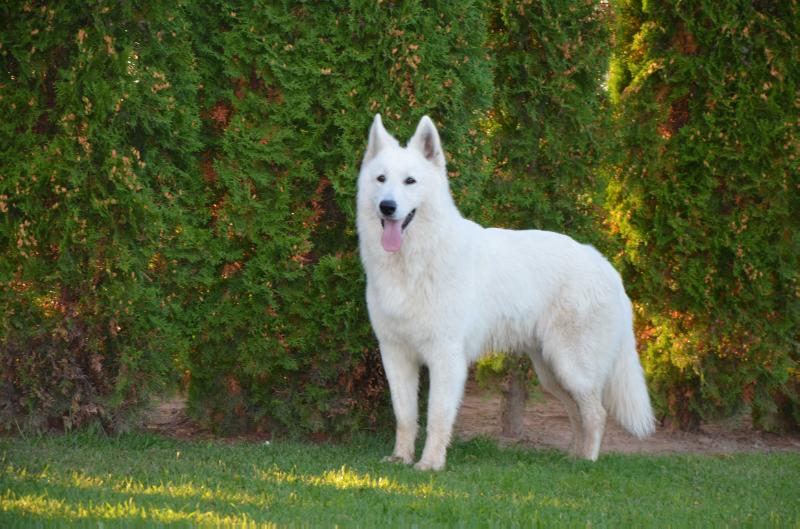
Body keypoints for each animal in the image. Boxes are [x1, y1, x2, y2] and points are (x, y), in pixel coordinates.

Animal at [358, 113, 656, 468]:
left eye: (410, 182)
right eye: (381, 179)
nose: (387, 207)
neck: (414, 262)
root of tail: (605, 265)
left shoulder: (446, 357)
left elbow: (437, 417)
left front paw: (430, 464)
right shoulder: (395, 353)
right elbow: (405, 416)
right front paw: (401, 458)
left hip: (572, 367)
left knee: (596, 412)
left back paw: (587, 461)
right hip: (551, 371)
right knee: (576, 413)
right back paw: (572, 457)